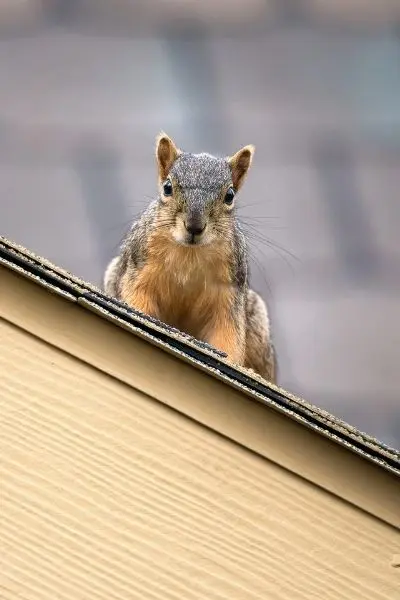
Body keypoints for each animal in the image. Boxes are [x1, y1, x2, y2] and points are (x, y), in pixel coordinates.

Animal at [104, 133, 276, 382]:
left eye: (230, 196)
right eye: (167, 188)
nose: (194, 226)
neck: (190, 253)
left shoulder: (228, 292)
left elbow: (227, 333)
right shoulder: (139, 270)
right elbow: (137, 301)